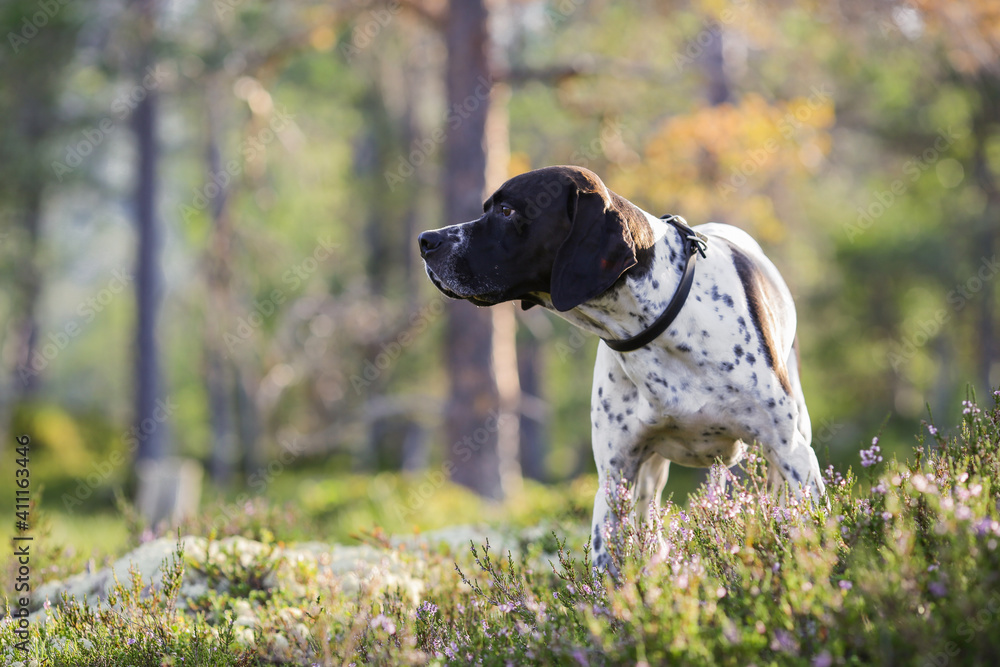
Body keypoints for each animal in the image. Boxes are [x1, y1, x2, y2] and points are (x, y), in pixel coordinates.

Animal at [418, 164, 824, 572]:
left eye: (506, 211)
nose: (425, 240)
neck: (660, 323)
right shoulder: (615, 477)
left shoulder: (792, 455)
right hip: (647, 478)